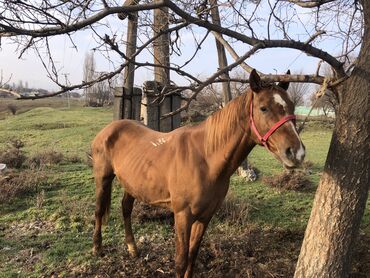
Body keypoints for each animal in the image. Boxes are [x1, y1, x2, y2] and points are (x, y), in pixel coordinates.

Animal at [92, 69, 304, 276]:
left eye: (292, 106)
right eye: (263, 108)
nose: (296, 153)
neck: (205, 159)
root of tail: (109, 129)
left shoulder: (205, 216)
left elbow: (192, 256)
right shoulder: (182, 216)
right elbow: (180, 261)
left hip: (132, 184)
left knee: (126, 208)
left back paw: (132, 248)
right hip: (103, 178)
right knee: (99, 210)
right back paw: (97, 248)